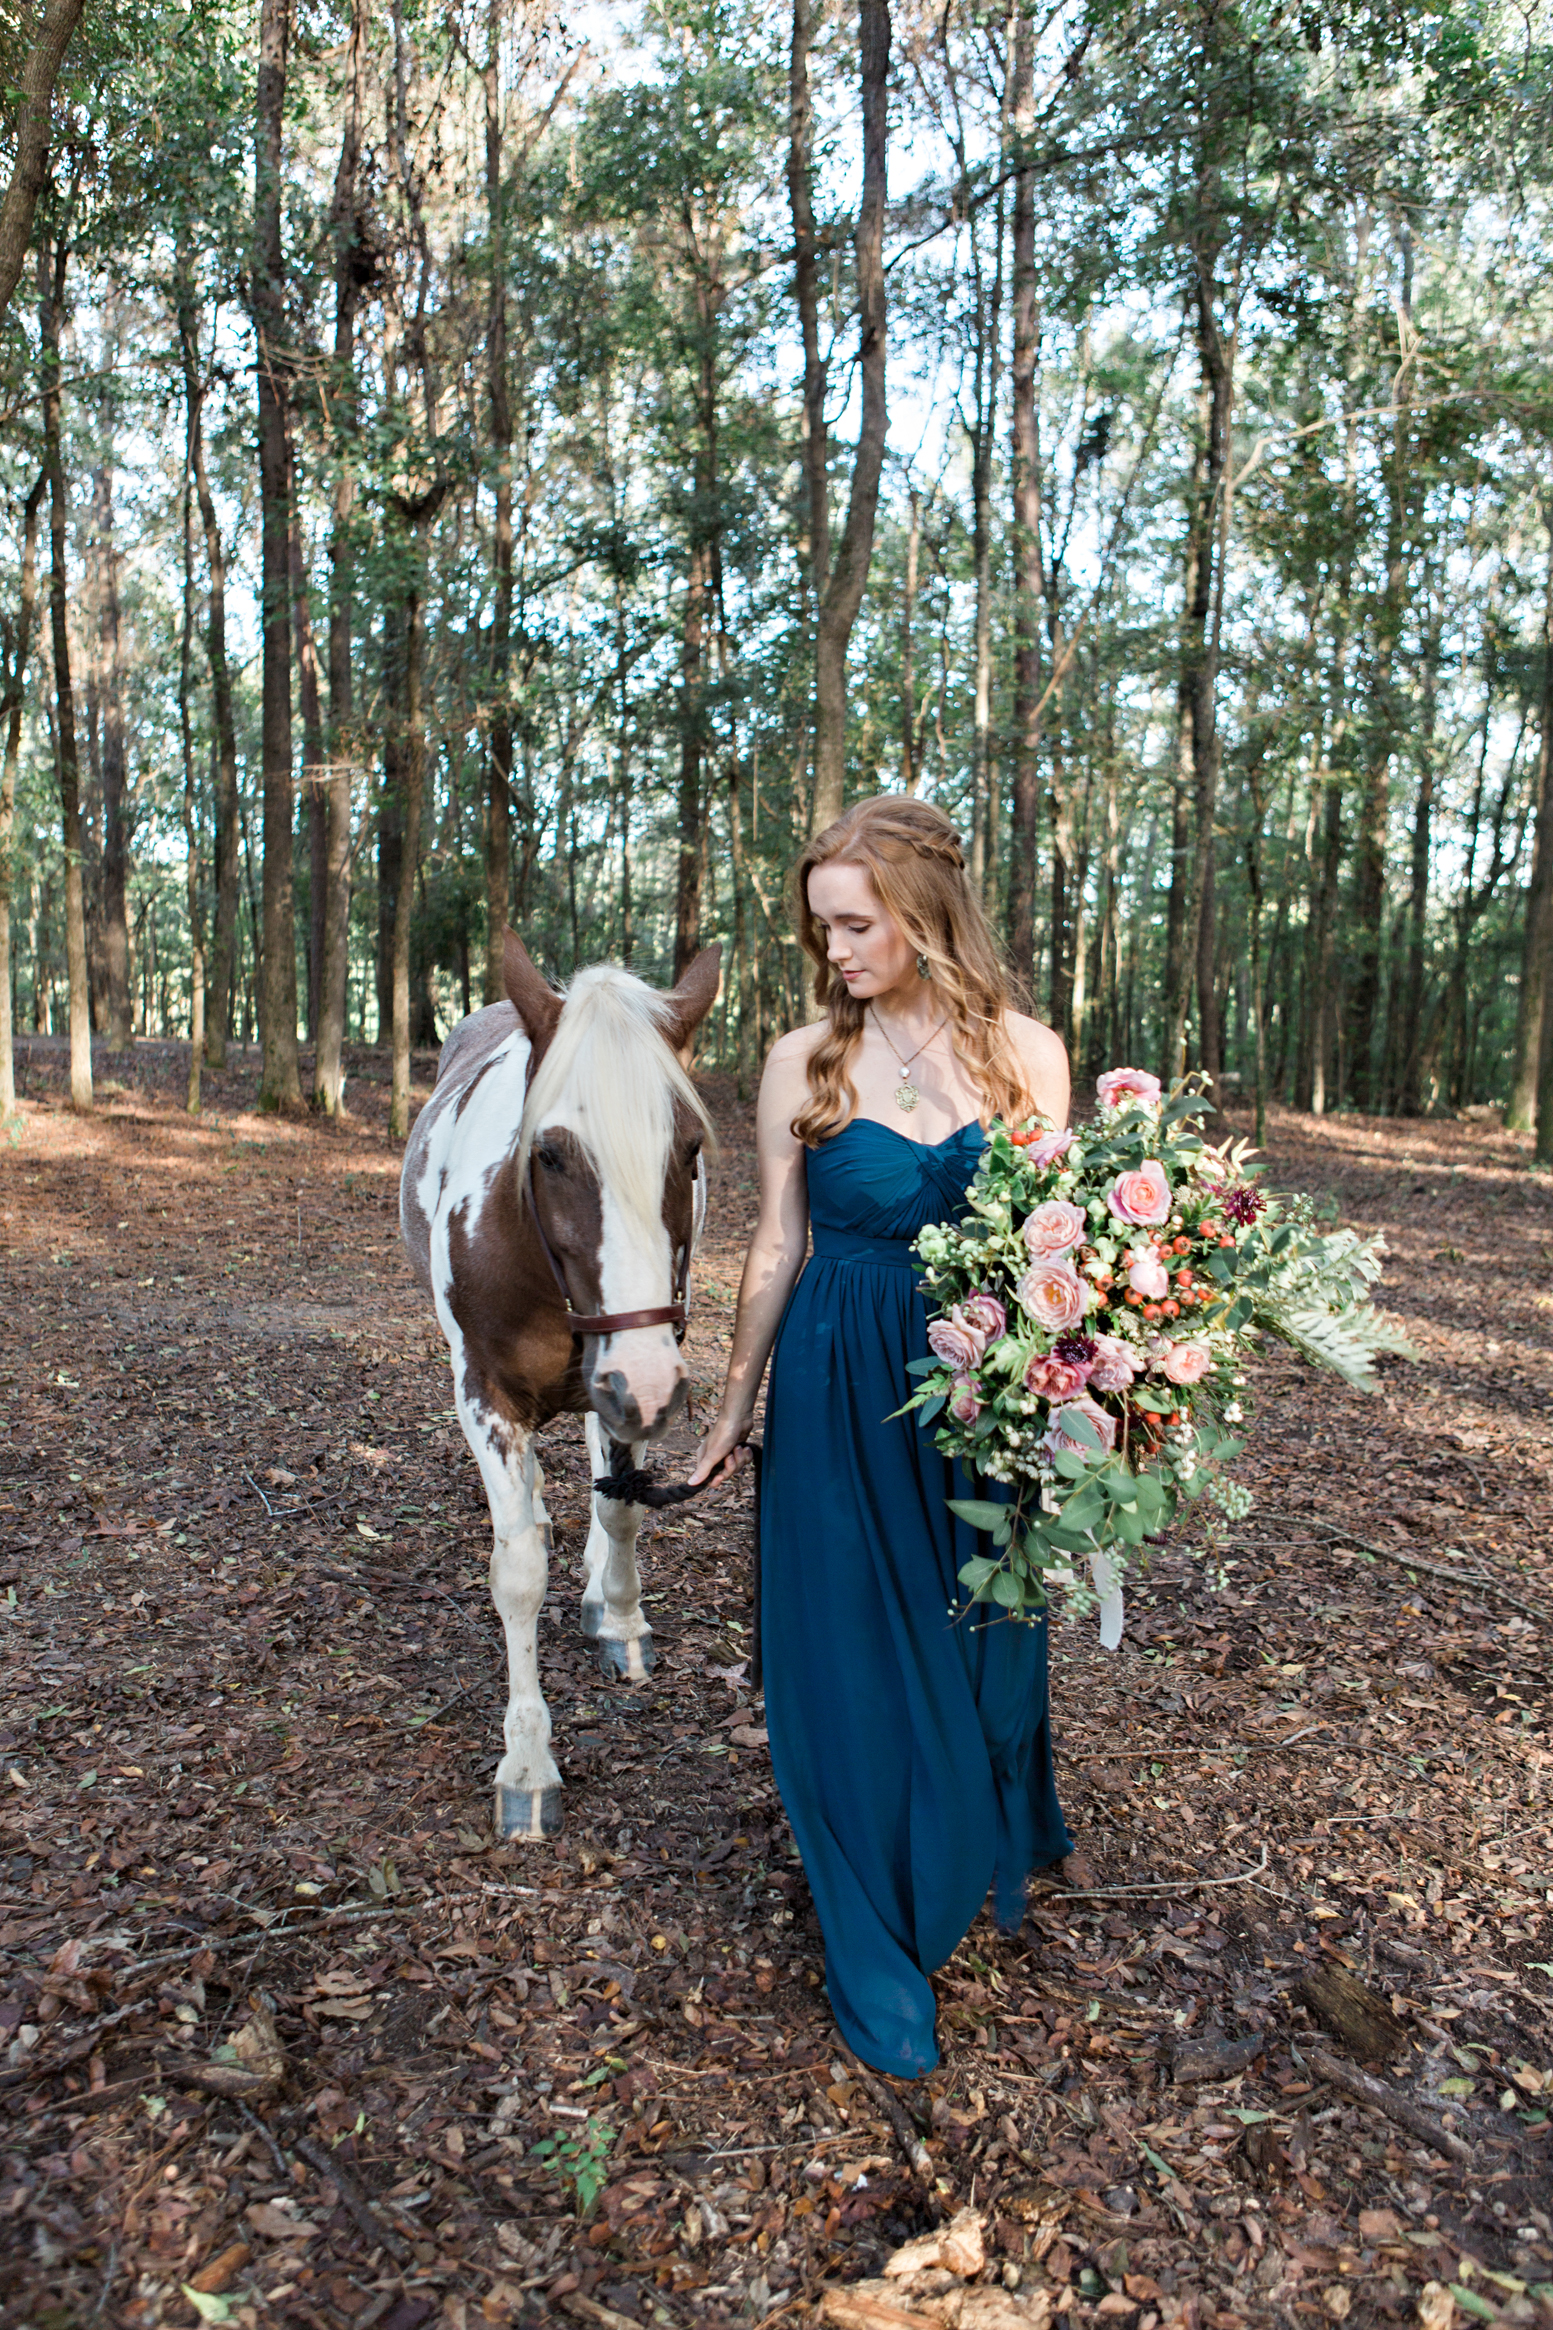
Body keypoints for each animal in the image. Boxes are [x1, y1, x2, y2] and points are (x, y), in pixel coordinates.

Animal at [398, 927, 721, 1836]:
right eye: (548, 1153)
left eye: (688, 1150)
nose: (648, 1381)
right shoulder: (486, 1397)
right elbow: (517, 1572)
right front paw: (527, 1763)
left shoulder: (626, 1377)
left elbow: (621, 1509)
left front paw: (620, 1617)